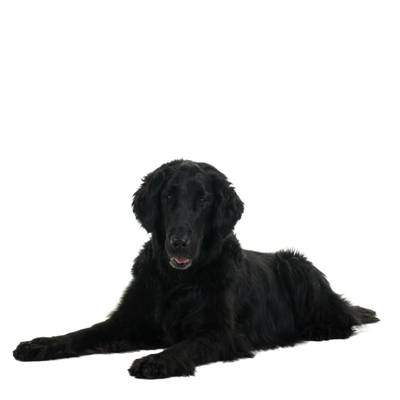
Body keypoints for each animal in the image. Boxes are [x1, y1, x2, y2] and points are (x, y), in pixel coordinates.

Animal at [13, 160, 378, 379]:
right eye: (168, 197)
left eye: (203, 200)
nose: (179, 243)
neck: (177, 280)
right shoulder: (128, 321)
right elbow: (82, 334)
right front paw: (39, 345)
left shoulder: (220, 332)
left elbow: (186, 345)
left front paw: (156, 360)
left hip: (296, 264)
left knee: (343, 317)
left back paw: (319, 328)